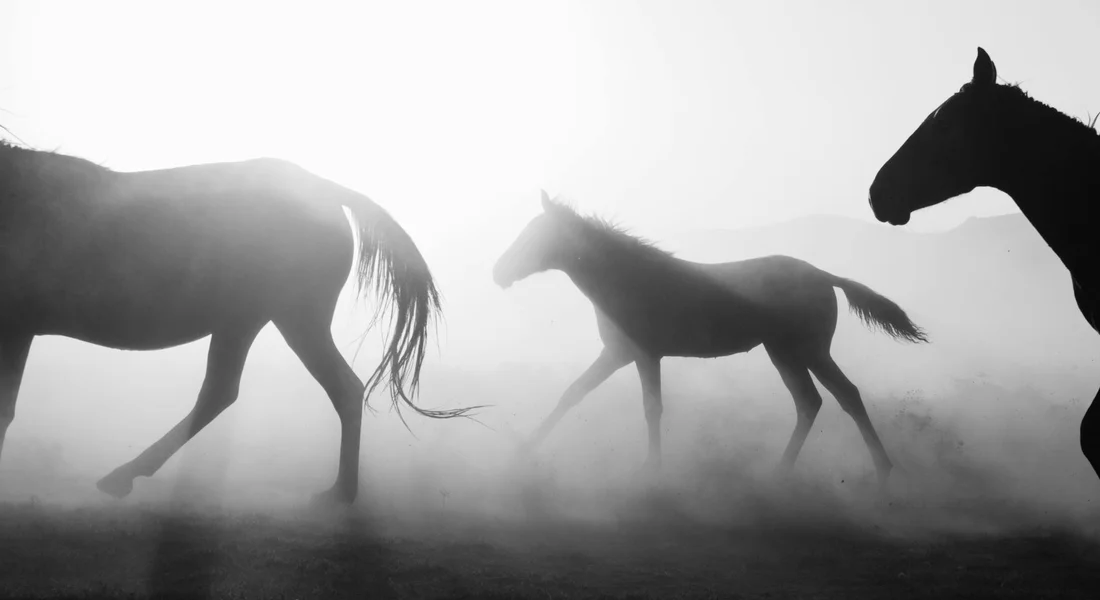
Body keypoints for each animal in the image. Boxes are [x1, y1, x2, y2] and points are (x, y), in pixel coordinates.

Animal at [0, 139, 473, 505]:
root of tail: (322, 188)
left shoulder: (15, 325)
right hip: (265, 319)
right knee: (260, 391)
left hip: (276, 316)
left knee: (266, 391)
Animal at [492, 192, 927, 483]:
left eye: (535, 235)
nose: (498, 272)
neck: (626, 278)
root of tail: (823, 275)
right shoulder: (616, 354)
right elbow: (572, 393)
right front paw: (524, 452)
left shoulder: (645, 355)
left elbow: (652, 408)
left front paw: (651, 470)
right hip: (783, 352)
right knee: (811, 402)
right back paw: (781, 472)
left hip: (808, 350)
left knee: (845, 396)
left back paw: (880, 469)